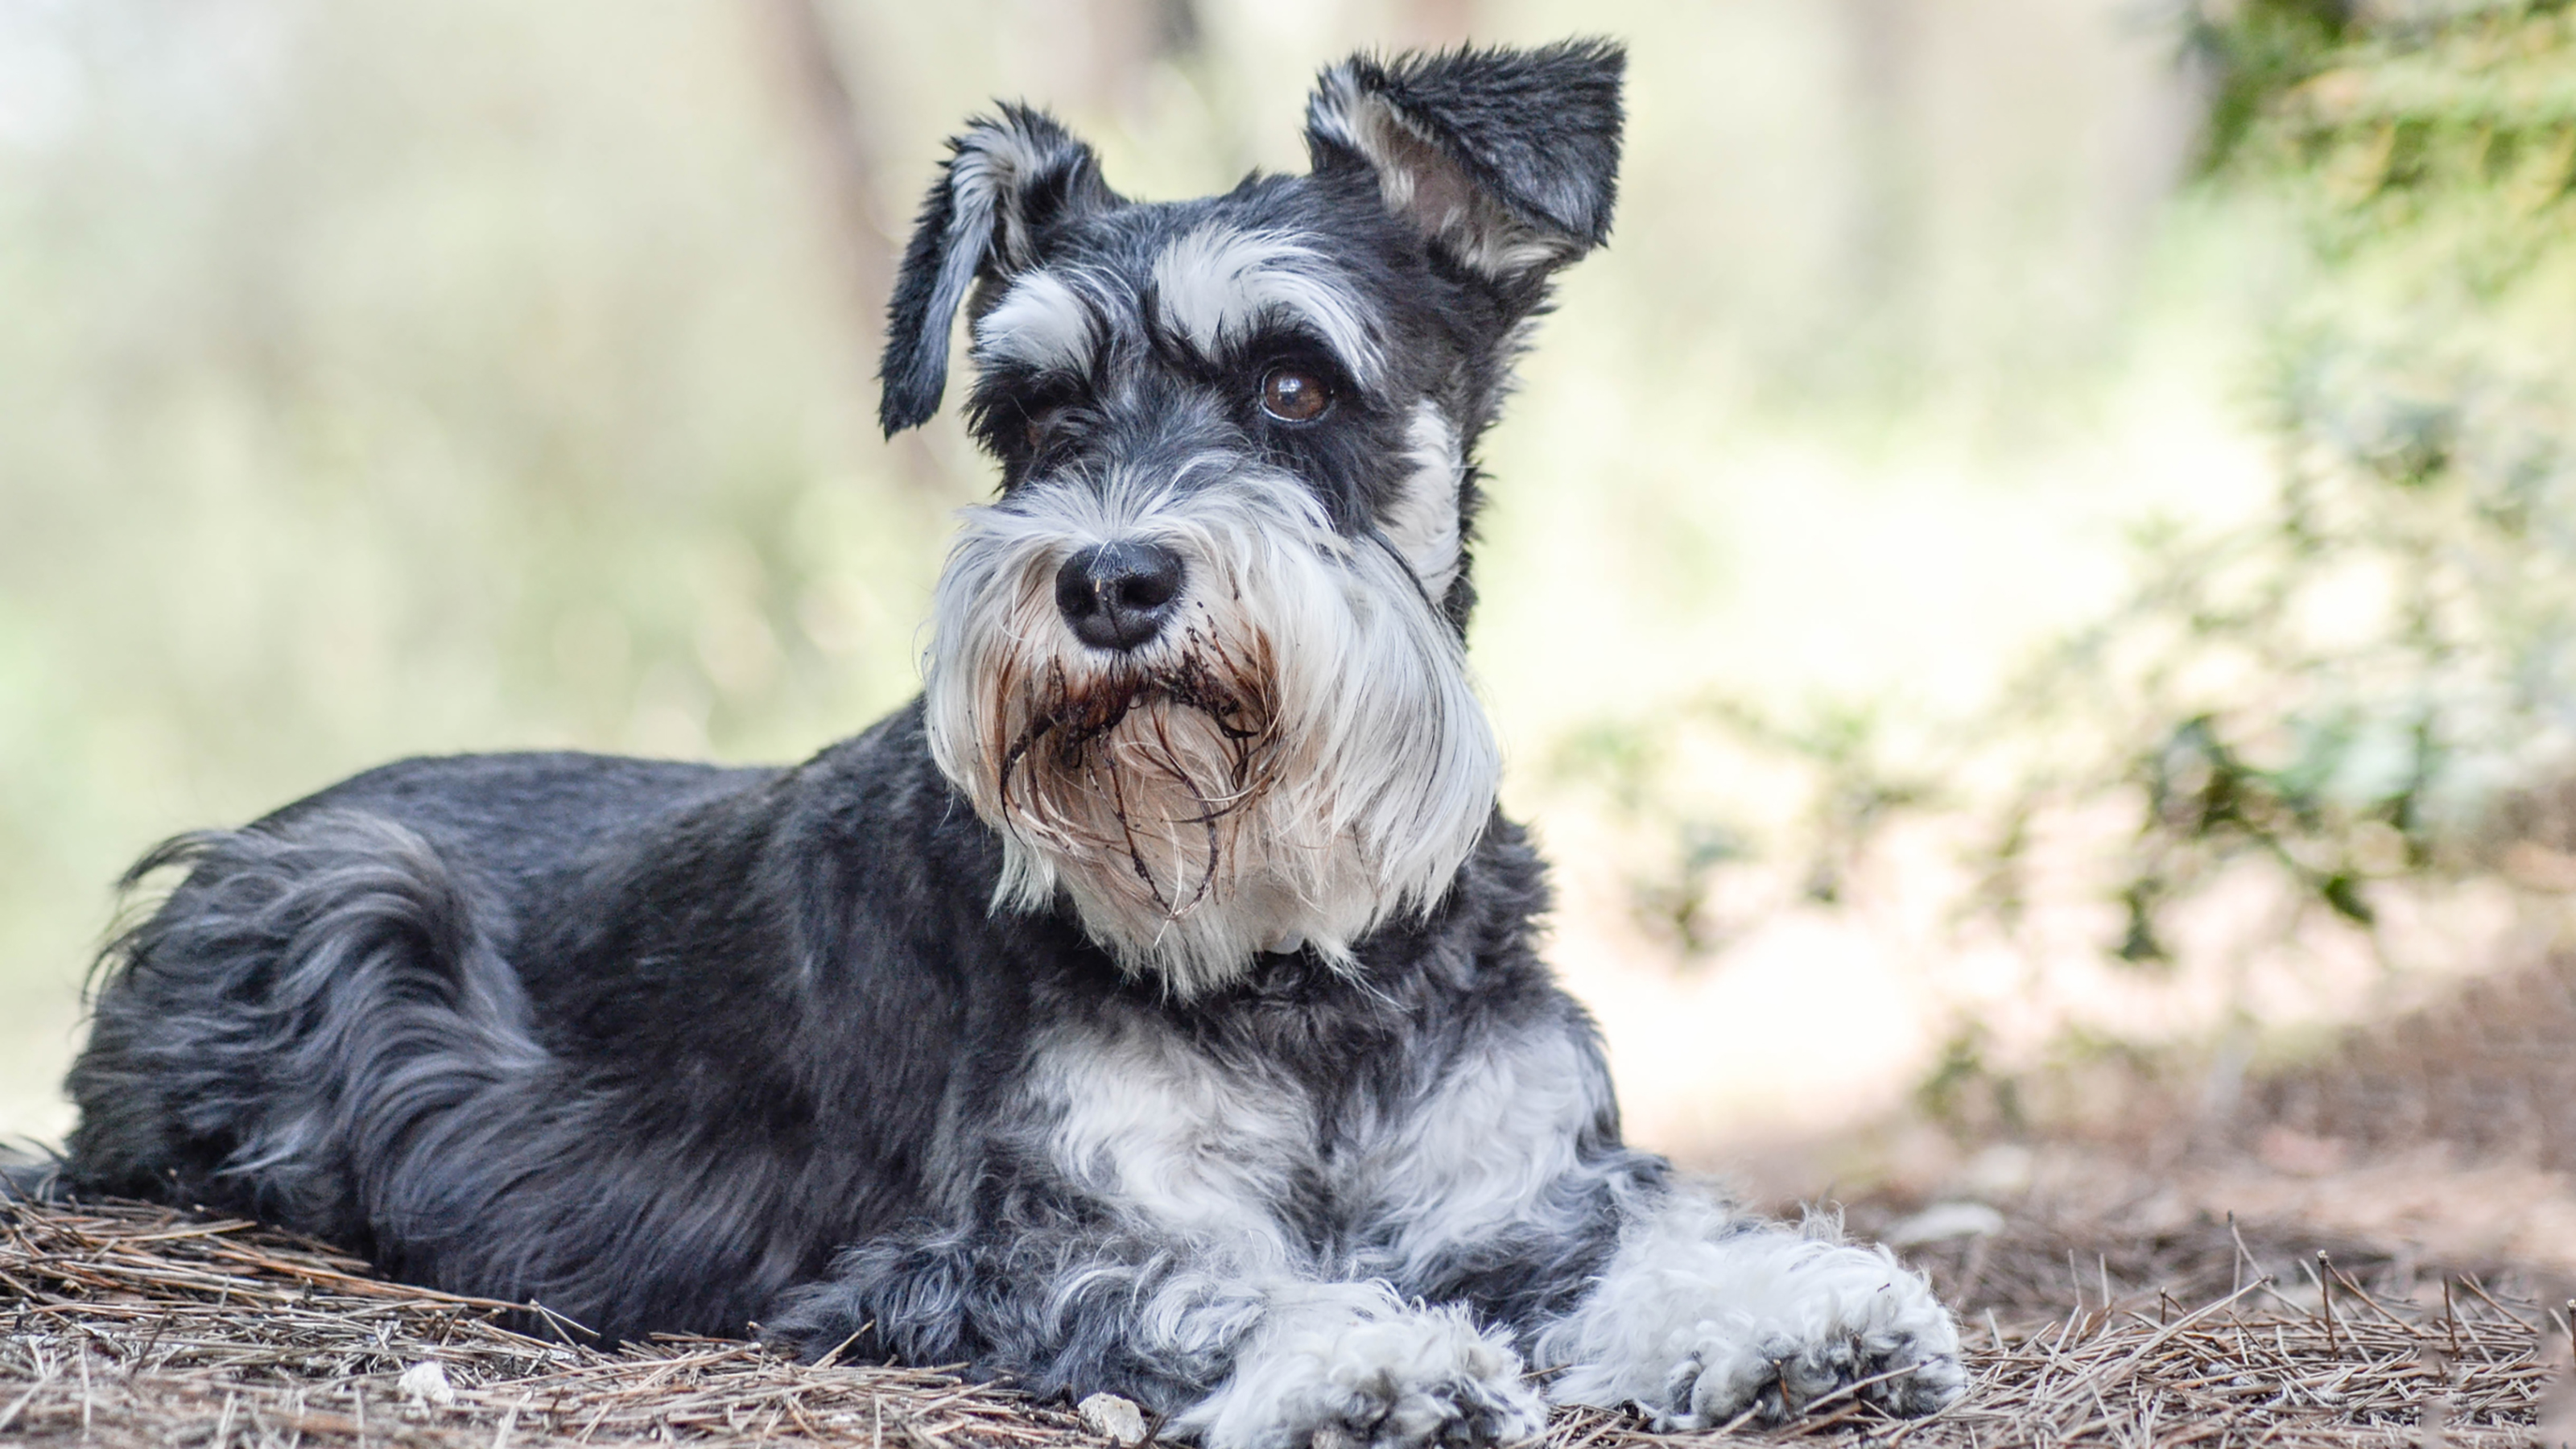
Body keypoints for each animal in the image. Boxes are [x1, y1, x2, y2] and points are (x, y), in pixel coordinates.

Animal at [50, 39, 1958, 1433]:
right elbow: (1190, 1288)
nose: (1111, 581)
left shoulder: (1512, 1186)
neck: (1292, 952)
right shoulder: (983, 1245)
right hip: (342, 908)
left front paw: (1793, 1305)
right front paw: (1360, 1354)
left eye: (1294, 383)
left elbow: (1643, 1229)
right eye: (1028, 415)